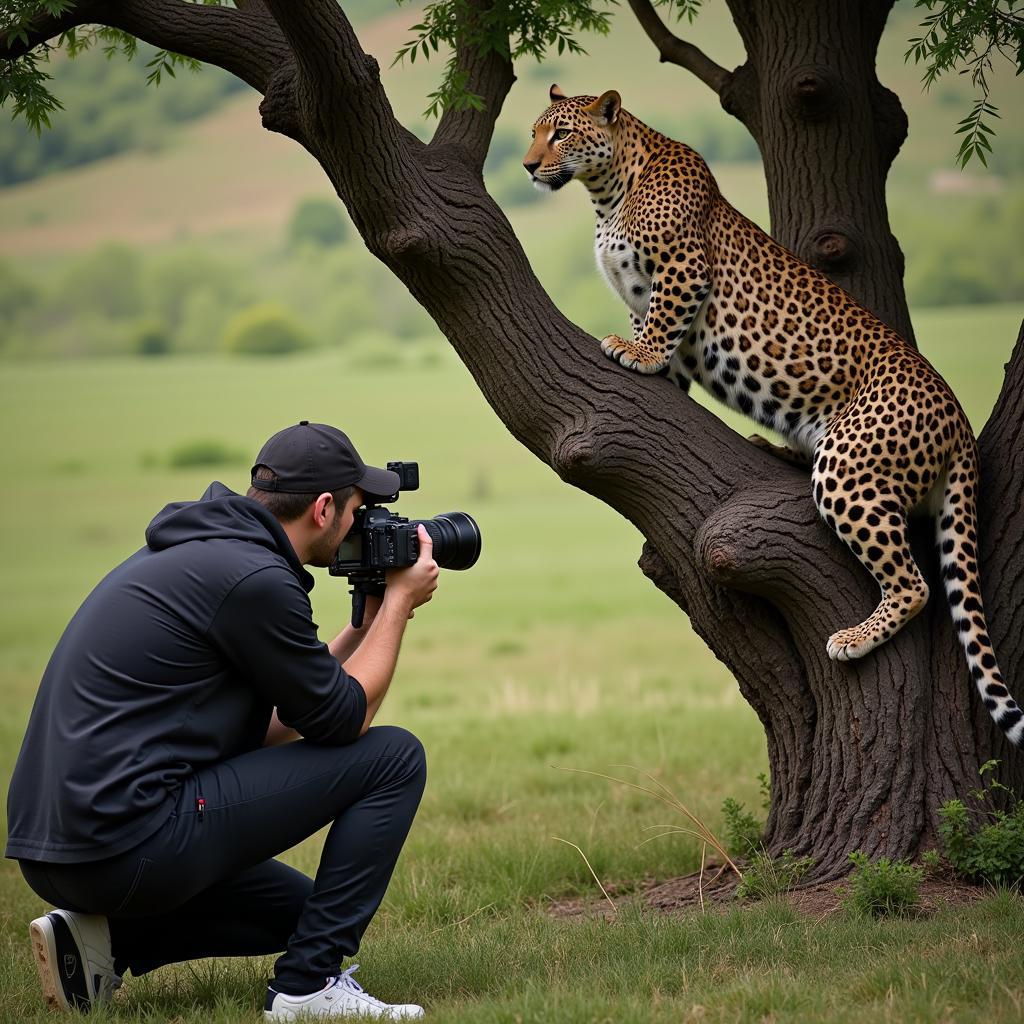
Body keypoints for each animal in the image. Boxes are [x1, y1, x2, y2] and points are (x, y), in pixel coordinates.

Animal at [524, 83, 1019, 749]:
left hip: (851, 469)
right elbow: (668, 356)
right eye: (534, 131)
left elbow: (661, 324)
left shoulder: (685, 270)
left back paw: (853, 637)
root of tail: (959, 420)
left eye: (561, 134)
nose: (529, 165)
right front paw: (652, 365)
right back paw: (775, 449)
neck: (607, 193)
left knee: (914, 584)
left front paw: (636, 352)